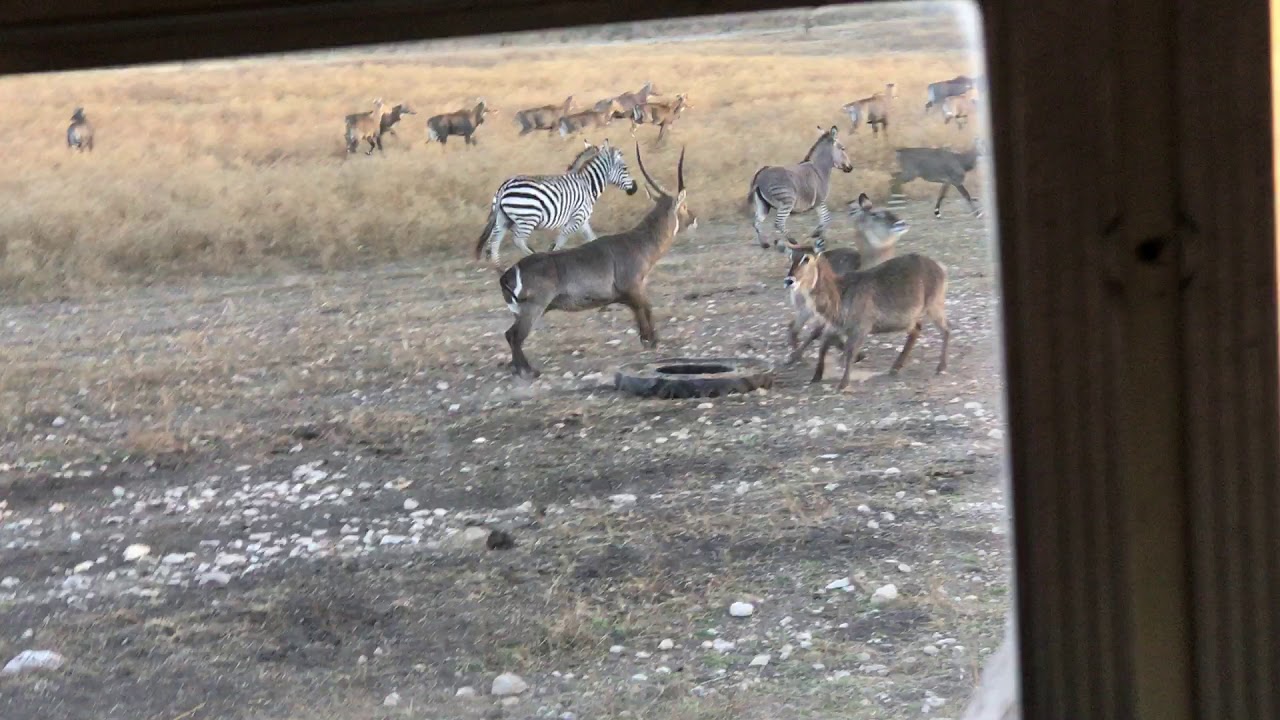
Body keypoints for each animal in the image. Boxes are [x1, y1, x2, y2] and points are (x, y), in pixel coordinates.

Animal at [474, 139, 639, 264]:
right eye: (625, 168)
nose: (635, 188)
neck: (587, 185)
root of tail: (505, 185)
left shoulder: (582, 219)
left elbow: (591, 237)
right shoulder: (577, 218)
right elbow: (561, 240)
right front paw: (553, 254)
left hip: (503, 219)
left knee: (494, 243)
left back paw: (499, 268)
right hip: (527, 218)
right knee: (517, 240)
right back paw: (532, 256)